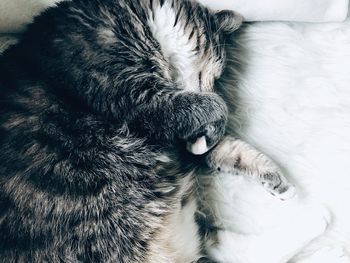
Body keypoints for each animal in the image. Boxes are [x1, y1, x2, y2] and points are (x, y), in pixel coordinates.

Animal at [0, 0, 296, 262]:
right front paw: (213, 119)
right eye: (218, 74)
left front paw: (274, 177)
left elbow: (226, 148)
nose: (214, 86)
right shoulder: (133, 95)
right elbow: (212, 108)